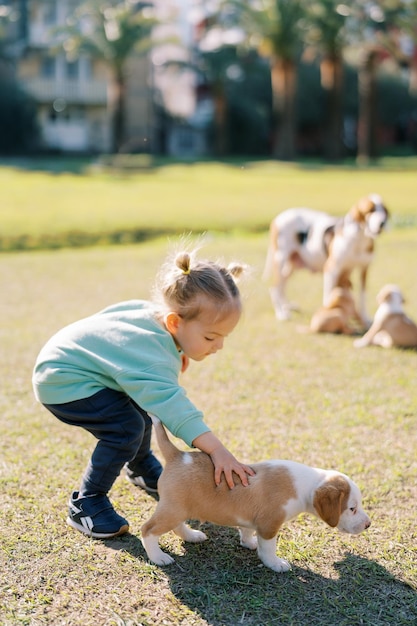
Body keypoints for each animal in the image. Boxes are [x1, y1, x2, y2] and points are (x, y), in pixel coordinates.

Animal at [141, 420, 368, 572]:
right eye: (352, 508)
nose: (368, 525)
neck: (307, 483)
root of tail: (177, 455)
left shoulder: (251, 518)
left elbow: (247, 530)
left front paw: (248, 542)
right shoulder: (269, 525)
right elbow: (268, 549)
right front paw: (275, 564)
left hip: (178, 509)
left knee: (177, 526)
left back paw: (192, 536)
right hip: (173, 509)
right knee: (148, 530)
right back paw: (158, 557)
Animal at [262, 194, 388, 322]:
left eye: (384, 210)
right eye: (370, 210)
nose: (382, 223)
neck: (359, 240)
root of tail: (277, 218)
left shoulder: (364, 269)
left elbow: (362, 296)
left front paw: (364, 318)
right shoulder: (331, 270)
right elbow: (328, 296)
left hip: (290, 267)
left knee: (282, 288)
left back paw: (288, 307)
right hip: (281, 261)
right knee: (275, 289)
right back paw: (282, 313)